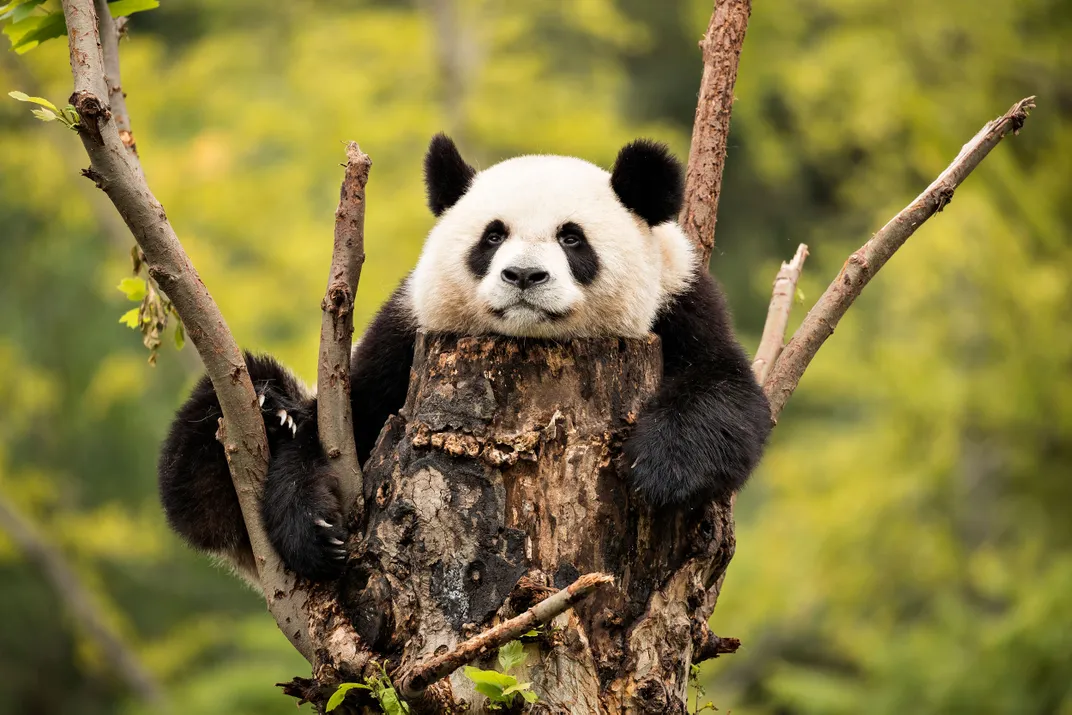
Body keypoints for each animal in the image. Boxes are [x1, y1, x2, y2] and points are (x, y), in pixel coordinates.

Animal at [158, 134, 772, 585]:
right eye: (492, 235)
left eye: (572, 238)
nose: (524, 276)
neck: (529, 346)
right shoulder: (405, 337)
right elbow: (330, 429)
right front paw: (314, 527)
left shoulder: (680, 309)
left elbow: (729, 398)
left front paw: (659, 468)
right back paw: (268, 405)